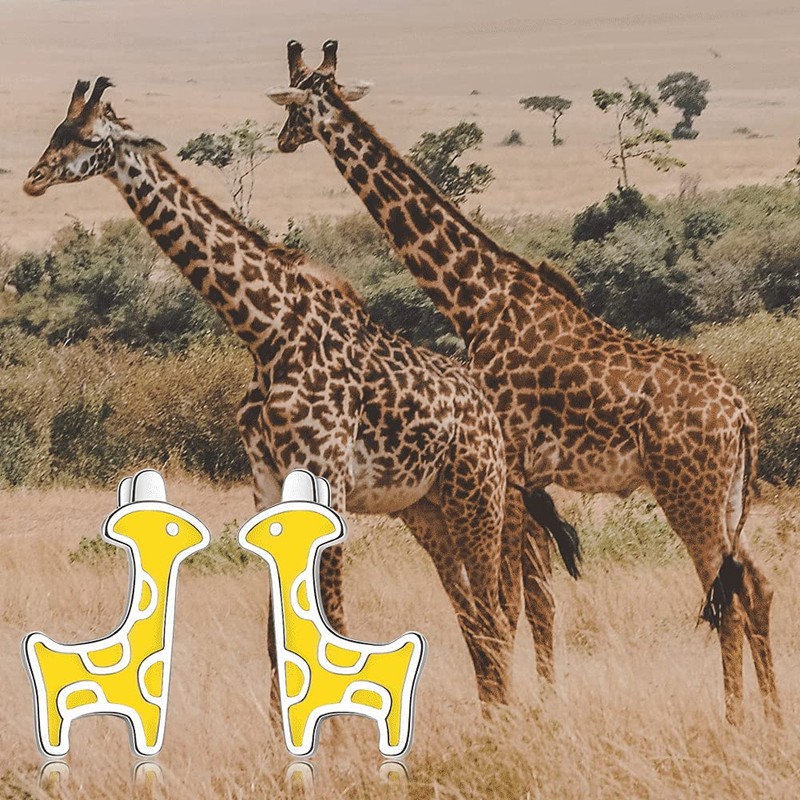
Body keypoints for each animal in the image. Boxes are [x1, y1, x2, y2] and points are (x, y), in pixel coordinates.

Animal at [24, 77, 514, 704]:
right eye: (55, 131)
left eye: (88, 138)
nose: (33, 178)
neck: (267, 332)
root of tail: (488, 412)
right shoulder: (265, 482)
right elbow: (275, 638)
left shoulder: (328, 481)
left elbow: (332, 624)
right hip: (428, 511)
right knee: (475, 619)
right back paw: (493, 716)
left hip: (478, 497)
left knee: (496, 617)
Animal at [267, 41, 779, 725]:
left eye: (296, 102)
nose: (282, 141)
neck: (473, 296)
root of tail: (741, 416)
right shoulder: (529, 478)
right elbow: (536, 600)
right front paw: (542, 704)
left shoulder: (506, 467)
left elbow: (508, 604)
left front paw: (512, 712)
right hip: (725, 495)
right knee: (756, 584)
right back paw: (771, 717)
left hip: (688, 493)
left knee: (723, 594)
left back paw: (733, 719)